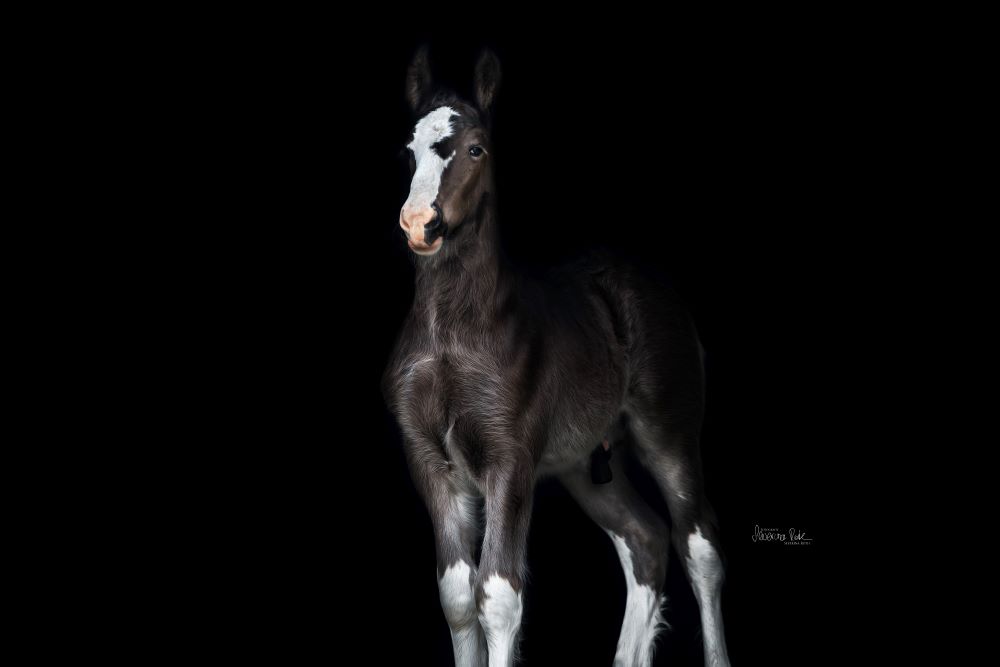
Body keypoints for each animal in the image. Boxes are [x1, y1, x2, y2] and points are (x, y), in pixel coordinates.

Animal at [378, 48, 732, 667]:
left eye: (476, 148)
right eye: (408, 150)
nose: (421, 224)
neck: (453, 337)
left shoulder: (510, 459)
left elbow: (497, 595)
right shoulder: (430, 462)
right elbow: (457, 597)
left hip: (670, 436)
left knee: (700, 545)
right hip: (585, 466)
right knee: (646, 539)